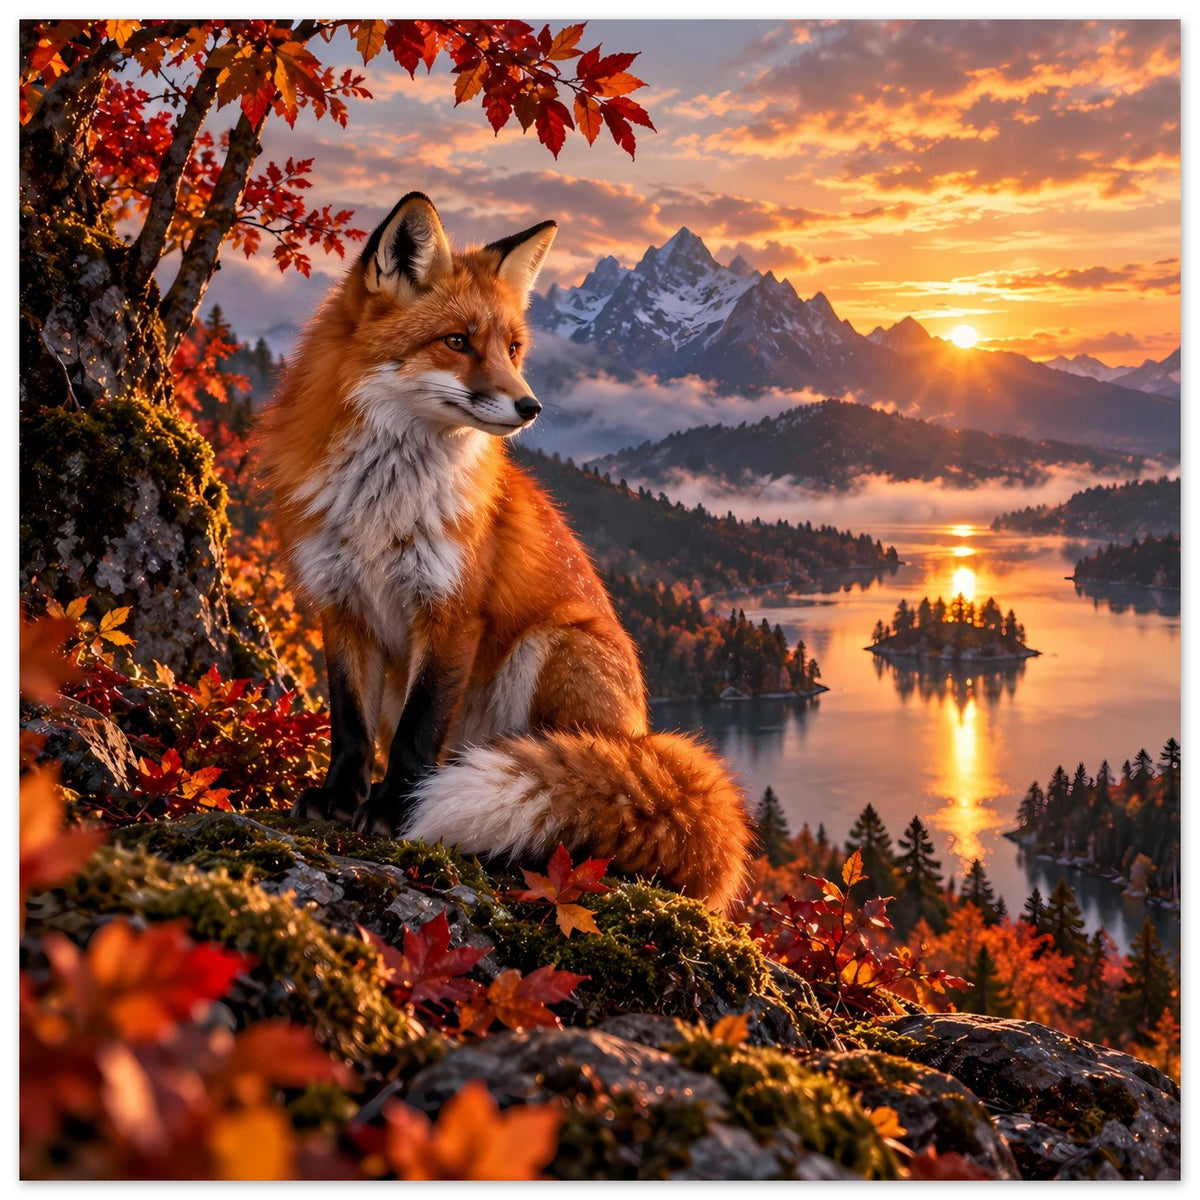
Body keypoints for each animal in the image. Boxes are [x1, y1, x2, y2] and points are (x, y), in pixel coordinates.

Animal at [257, 192, 752, 913]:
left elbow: (416, 733)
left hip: (549, 646)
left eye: (513, 347)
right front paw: (339, 799)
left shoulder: (452, 612)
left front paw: (394, 812)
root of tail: (643, 736)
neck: (383, 505)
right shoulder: (340, 603)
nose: (530, 405)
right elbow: (350, 726)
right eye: (458, 342)